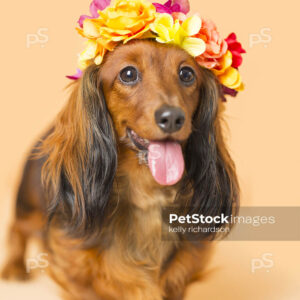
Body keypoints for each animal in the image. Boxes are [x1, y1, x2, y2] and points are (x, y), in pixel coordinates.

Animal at [0, 40, 239, 300]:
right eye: (128, 74)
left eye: (187, 74)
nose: (173, 118)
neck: (146, 196)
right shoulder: (74, 273)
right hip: (28, 208)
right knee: (15, 228)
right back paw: (14, 266)